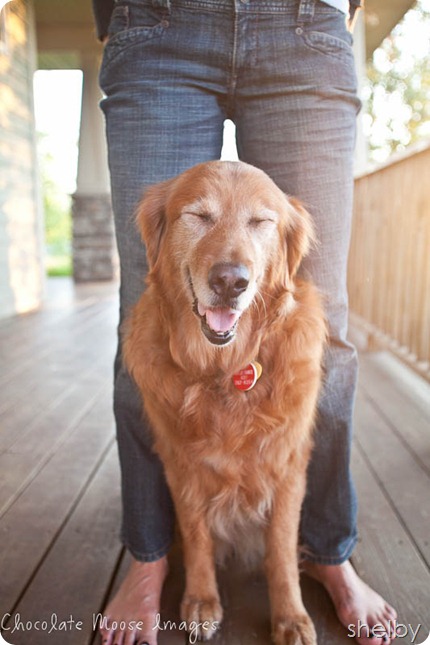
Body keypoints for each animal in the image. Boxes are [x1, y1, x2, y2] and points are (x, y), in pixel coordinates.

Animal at [124, 161, 326, 644]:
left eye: (260, 222)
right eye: (198, 216)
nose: (231, 280)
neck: (224, 370)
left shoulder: (288, 465)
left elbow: (281, 549)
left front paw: (290, 616)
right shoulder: (181, 465)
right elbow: (198, 536)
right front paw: (201, 599)